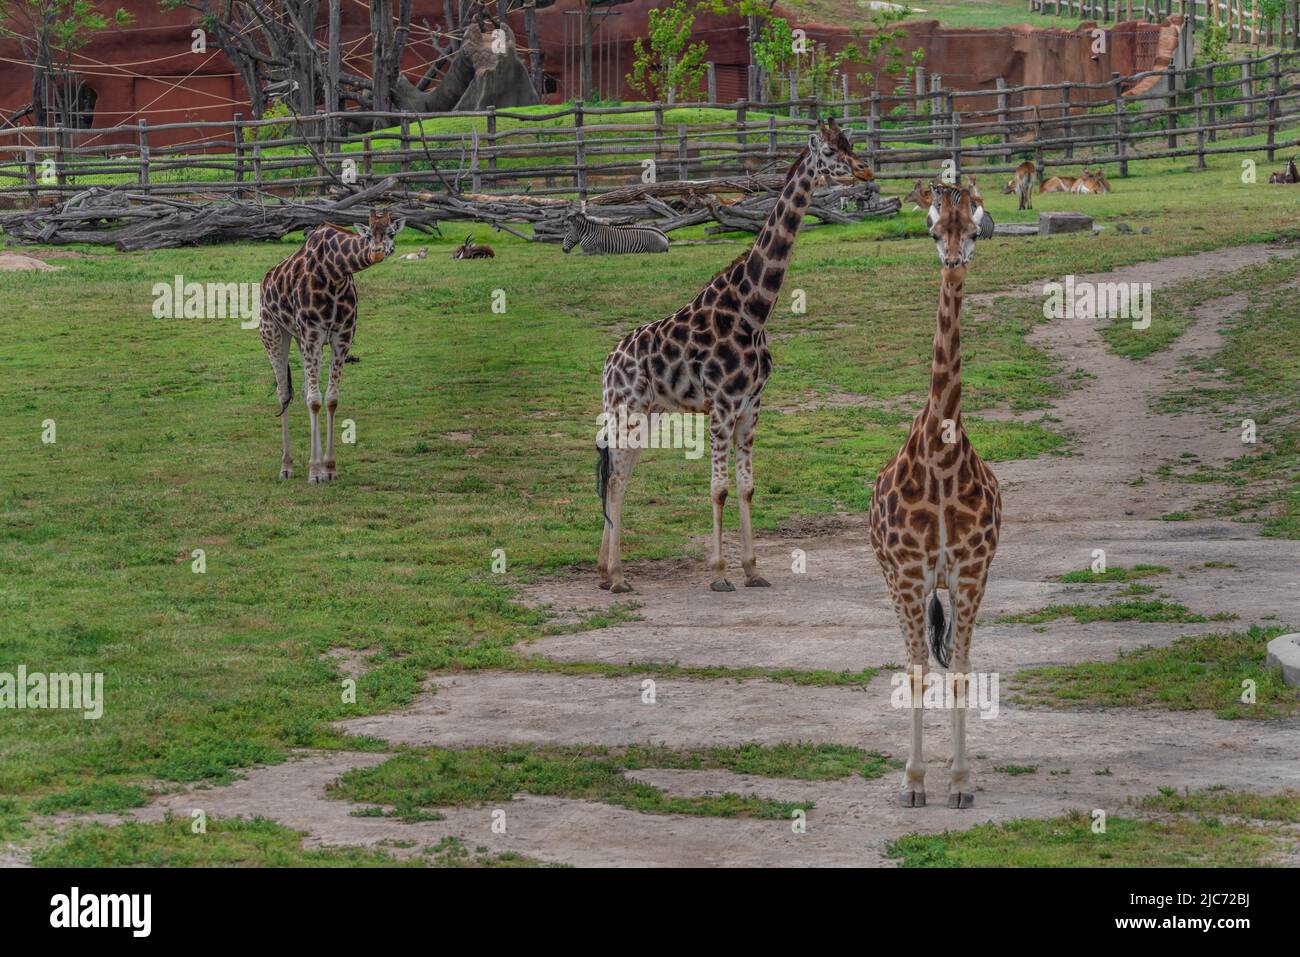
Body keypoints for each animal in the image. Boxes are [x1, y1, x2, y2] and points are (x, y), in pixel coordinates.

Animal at [598, 117, 873, 590]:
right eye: (831, 152)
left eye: (850, 144)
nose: (864, 170)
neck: (754, 310)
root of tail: (608, 362)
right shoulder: (723, 404)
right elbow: (719, 488)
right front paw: (720, 572)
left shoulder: (751, 405)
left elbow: (746, 486)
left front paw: (752, 568)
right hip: (625, 408)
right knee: (615, 478)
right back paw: (616, 577)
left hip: (648, 412)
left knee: (622, 476)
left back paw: (603, 571)